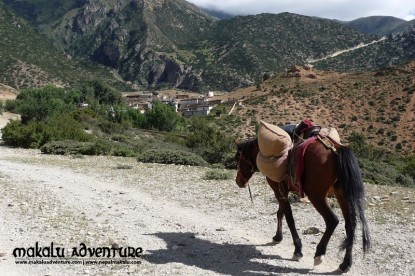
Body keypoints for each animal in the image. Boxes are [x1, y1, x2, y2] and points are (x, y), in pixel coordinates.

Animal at [236, 136, 372, 272]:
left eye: (237, 158)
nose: (238, 181)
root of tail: (336, 149)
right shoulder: (283, 190)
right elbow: (280, 213)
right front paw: (277, 237)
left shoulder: (278, 190)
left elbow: (289, 219)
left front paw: (297, 250)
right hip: (342, 195)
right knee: (350, 225)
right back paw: (345, 264)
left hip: (316, 196)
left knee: (332, 220)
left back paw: (319, 254)